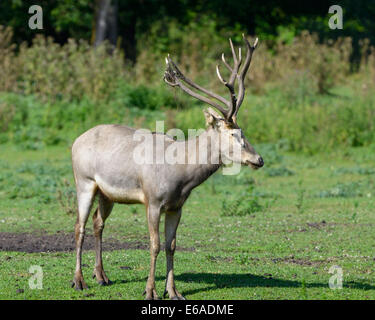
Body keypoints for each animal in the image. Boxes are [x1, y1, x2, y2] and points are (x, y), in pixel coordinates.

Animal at [70, 35, 264, 300]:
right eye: (234, 133)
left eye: (243, 131)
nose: (259, 159)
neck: (181, 176)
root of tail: (76, 141)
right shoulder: (152, 201)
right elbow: (155, 245)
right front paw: (150, 291)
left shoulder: (176, 206)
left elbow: (171, 245)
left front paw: (173, 291)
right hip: (84, 181)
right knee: (79, 225)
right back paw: (79, 281)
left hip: (107, 193)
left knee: (98, 221)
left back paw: (101, 276)